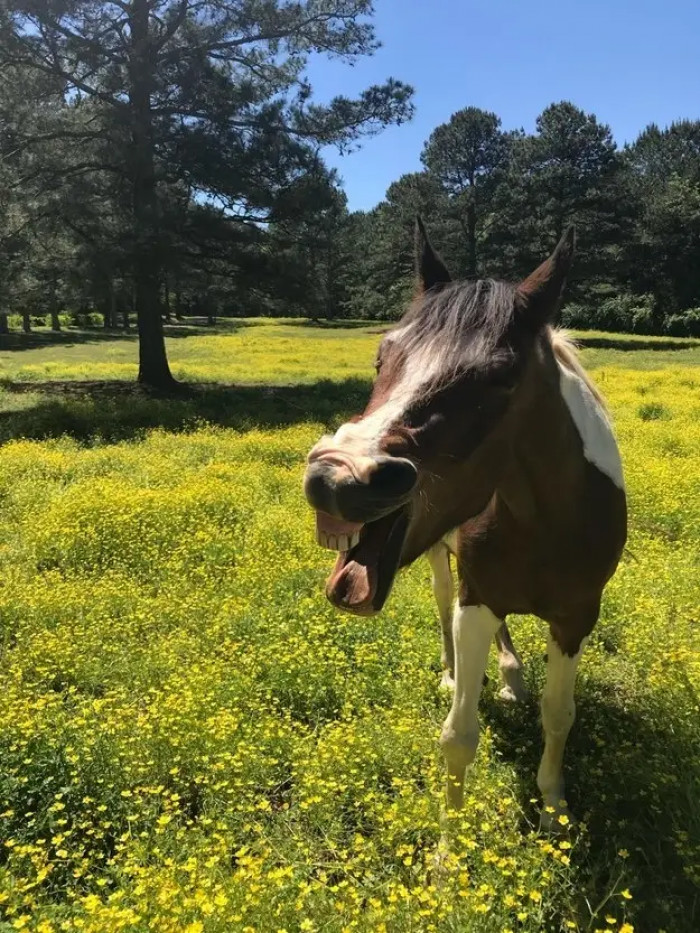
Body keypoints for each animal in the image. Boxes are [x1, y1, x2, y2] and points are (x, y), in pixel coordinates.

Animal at [303, 219, 627, 828]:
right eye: (382, 357)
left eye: (501, 377)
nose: (336, 477)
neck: (549, 522)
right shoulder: (475, 600)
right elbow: (458, 737)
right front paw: (450, 846)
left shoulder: (576, 616)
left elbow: (558, 714)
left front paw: (553, 806)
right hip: (444, 564)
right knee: (441, 600)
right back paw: (458, 670)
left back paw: (511, 675)